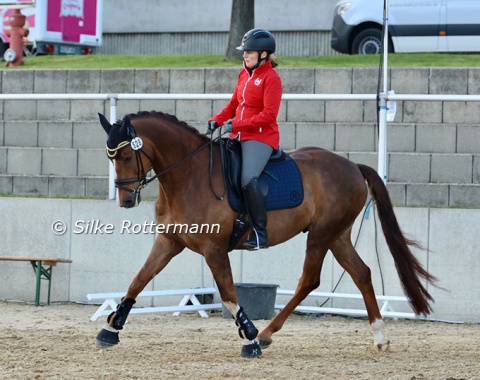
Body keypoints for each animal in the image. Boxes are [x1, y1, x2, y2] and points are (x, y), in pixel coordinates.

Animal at [95, 109, 436, 356]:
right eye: (110, 157)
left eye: (127, 156)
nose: (125, 200)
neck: (187, 177)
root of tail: (353, 166)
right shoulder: (169, 242)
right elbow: (138, 280)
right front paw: (111, 328)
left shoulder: (214, 249)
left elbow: (229, 294)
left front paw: (249, 337)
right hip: (337, 236)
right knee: (362, 273)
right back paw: (380, 337)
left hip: (321, 235)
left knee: (310, 280)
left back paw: (266, 334)